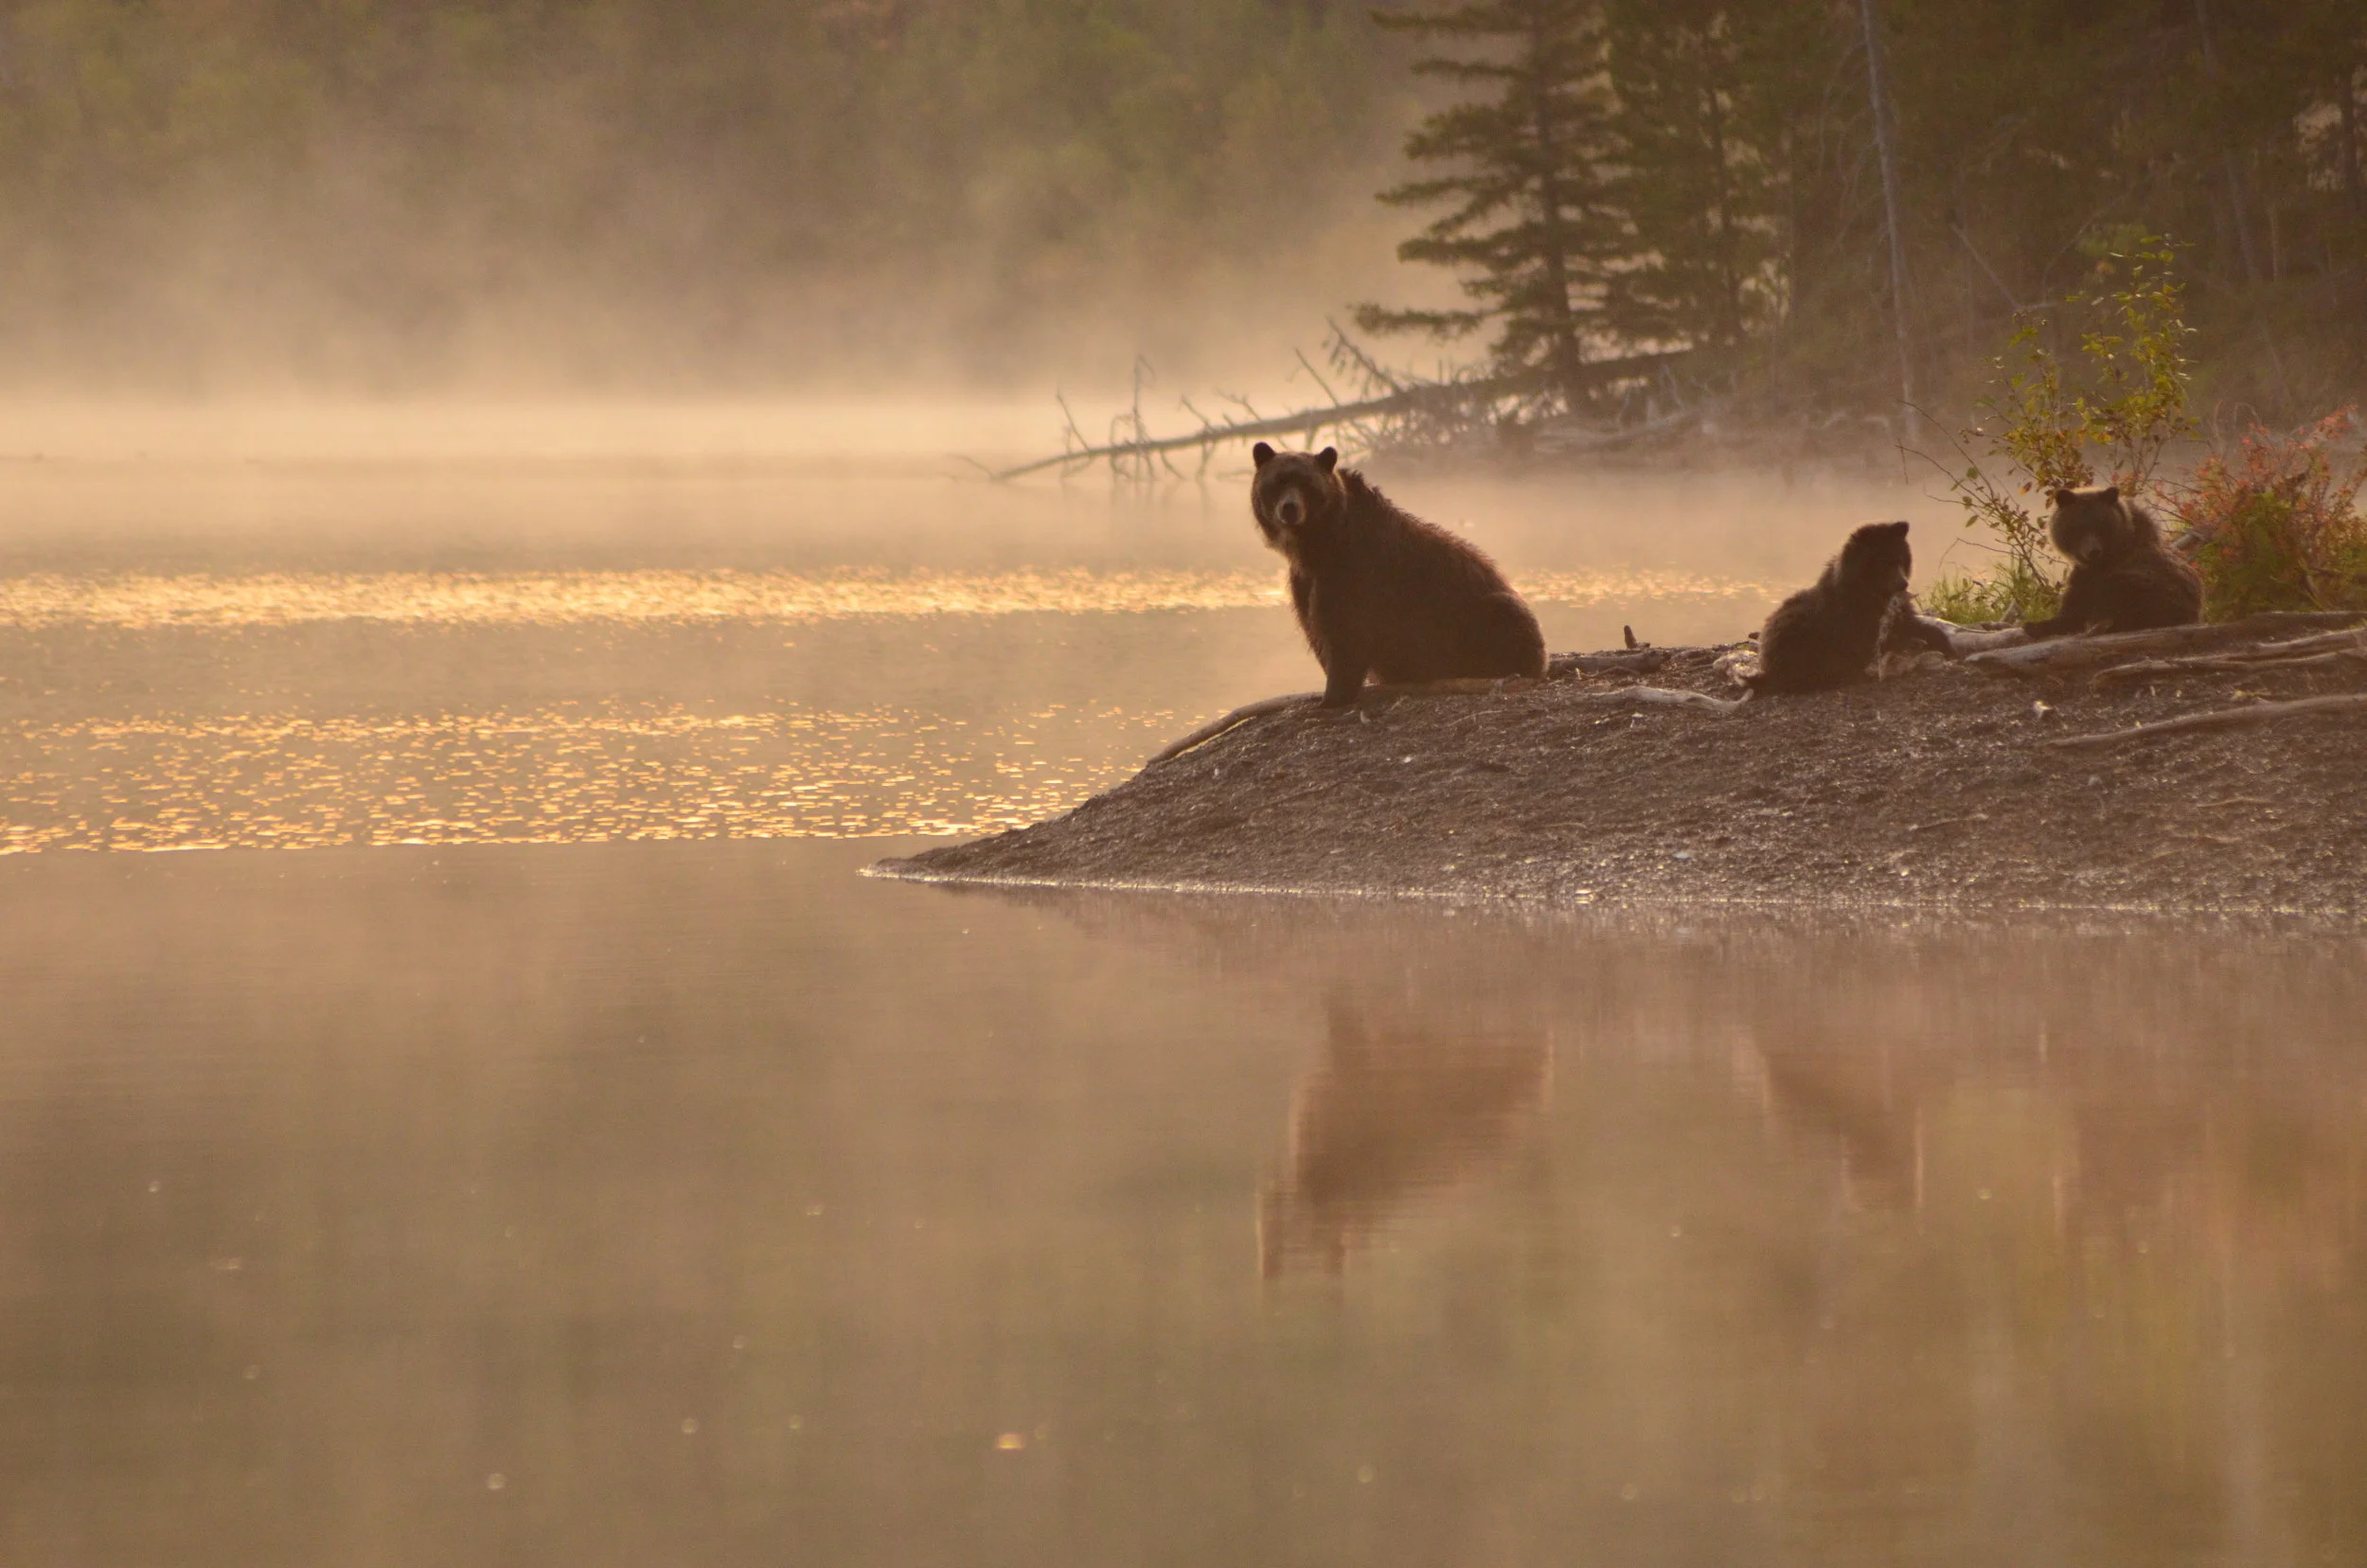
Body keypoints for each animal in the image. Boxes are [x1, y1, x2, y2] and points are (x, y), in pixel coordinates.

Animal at [1250, 442, 1546, 707]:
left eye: (1307, 484)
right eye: (1277, 482)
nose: (1289, 508)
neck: (1314, 544)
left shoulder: (1351, 571)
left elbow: (1344, 633)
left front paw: (1332, 697)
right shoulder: (1305, 579)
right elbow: (1316, 630)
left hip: (1478, 615)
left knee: (1505, 616)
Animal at [1749, 520, 1940, 693]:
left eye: (1900, 559)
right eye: (1883, 562)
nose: (1903, 583)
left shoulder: (1897, 614)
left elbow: (1915, 626)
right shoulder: (1855, 620)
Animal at [2021, 484, 2203, 638]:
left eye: (2100, 525)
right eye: (2079, 528)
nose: (2093, 551)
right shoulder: (2085, 572)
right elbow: (2072, 607)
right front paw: (2036, 625)